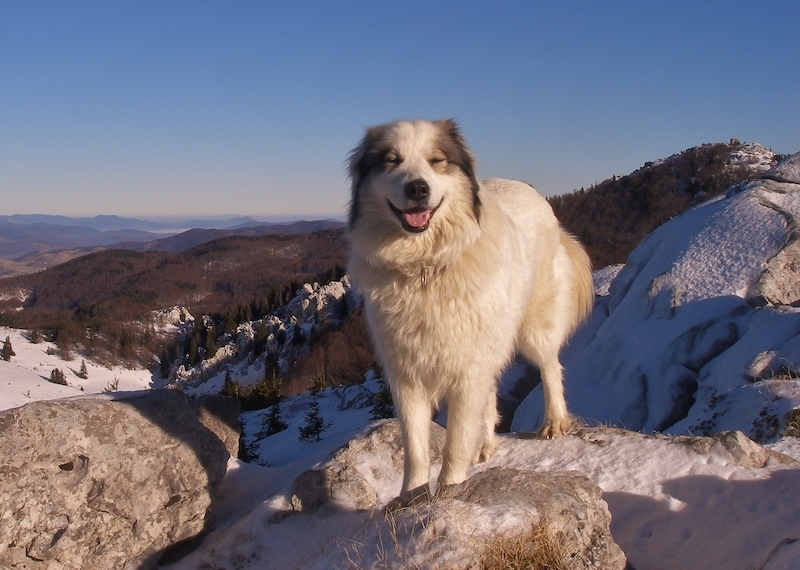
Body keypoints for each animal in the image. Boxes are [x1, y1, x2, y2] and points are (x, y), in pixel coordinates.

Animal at [346, 117, 592, 500]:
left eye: (437, 161)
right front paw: (411, 499)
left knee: (551, 367)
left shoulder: (467, 368)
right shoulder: (406, 374)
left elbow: (455, 441)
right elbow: (415, 448)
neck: (425, 268)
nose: (418, 188)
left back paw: (553, 421)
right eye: (391, 161)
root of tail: (530, 189)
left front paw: (449, 490)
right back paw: (485, 444)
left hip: (533, 329)